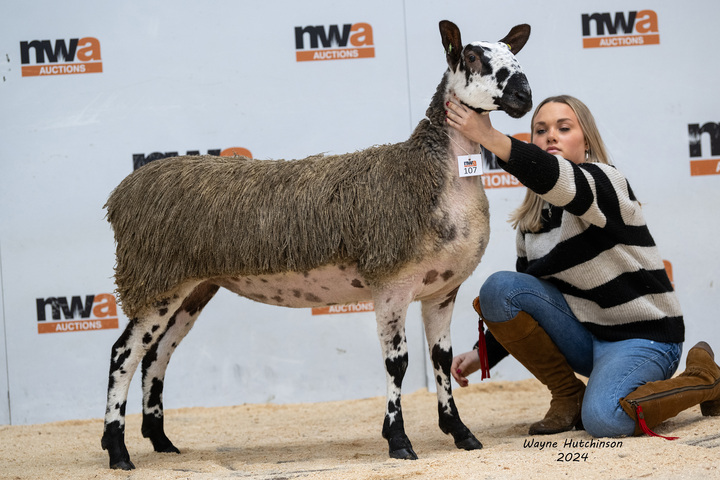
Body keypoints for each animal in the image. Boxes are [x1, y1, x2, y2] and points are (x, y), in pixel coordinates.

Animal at [100, 20, 528, 470]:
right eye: (473, 57)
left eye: (513, 54)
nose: (525, 95)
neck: (439, 176)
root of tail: (125, 192)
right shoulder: (391, 285)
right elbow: (398, 363)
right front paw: (398, 440)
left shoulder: (442, 290)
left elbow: (441, 358)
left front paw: (460, 431)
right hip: (157, 278)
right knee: (124, 353)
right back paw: (117, 450)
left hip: (194, 287)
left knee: (156, 354)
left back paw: (160, 439)